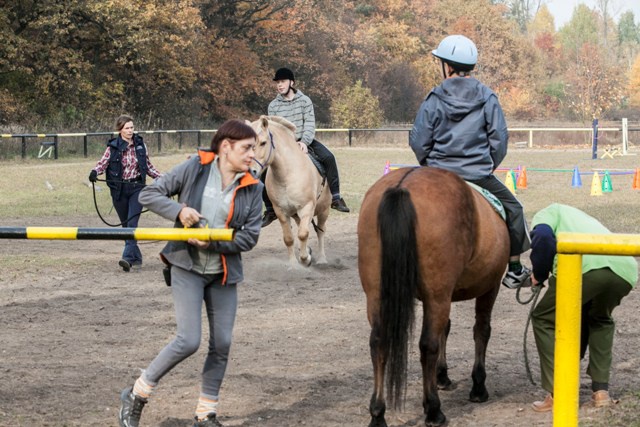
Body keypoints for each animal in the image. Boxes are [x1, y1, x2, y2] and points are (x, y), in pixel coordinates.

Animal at [249, 115, 332, 266]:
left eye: (263, 142)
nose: (252, 171)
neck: (287, 174)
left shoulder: (307, 207)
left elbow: (303, 234)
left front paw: (306, 259)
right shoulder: (281, 211)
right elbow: (289, 238)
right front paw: (294, 264)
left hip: (324, 210)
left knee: (321, 231)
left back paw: (322, 259)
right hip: (297, 214)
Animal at [358, 167, 508, 427]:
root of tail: (402, 185)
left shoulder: (445, 295)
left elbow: (445, 329)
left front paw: (442, 376)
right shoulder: (489, 286)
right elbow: (481, 331)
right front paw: (478, 386)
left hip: (377, 294)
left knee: (379, 343)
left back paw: (378, 414)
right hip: (437, 295)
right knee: (427, 345)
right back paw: (434, 410)